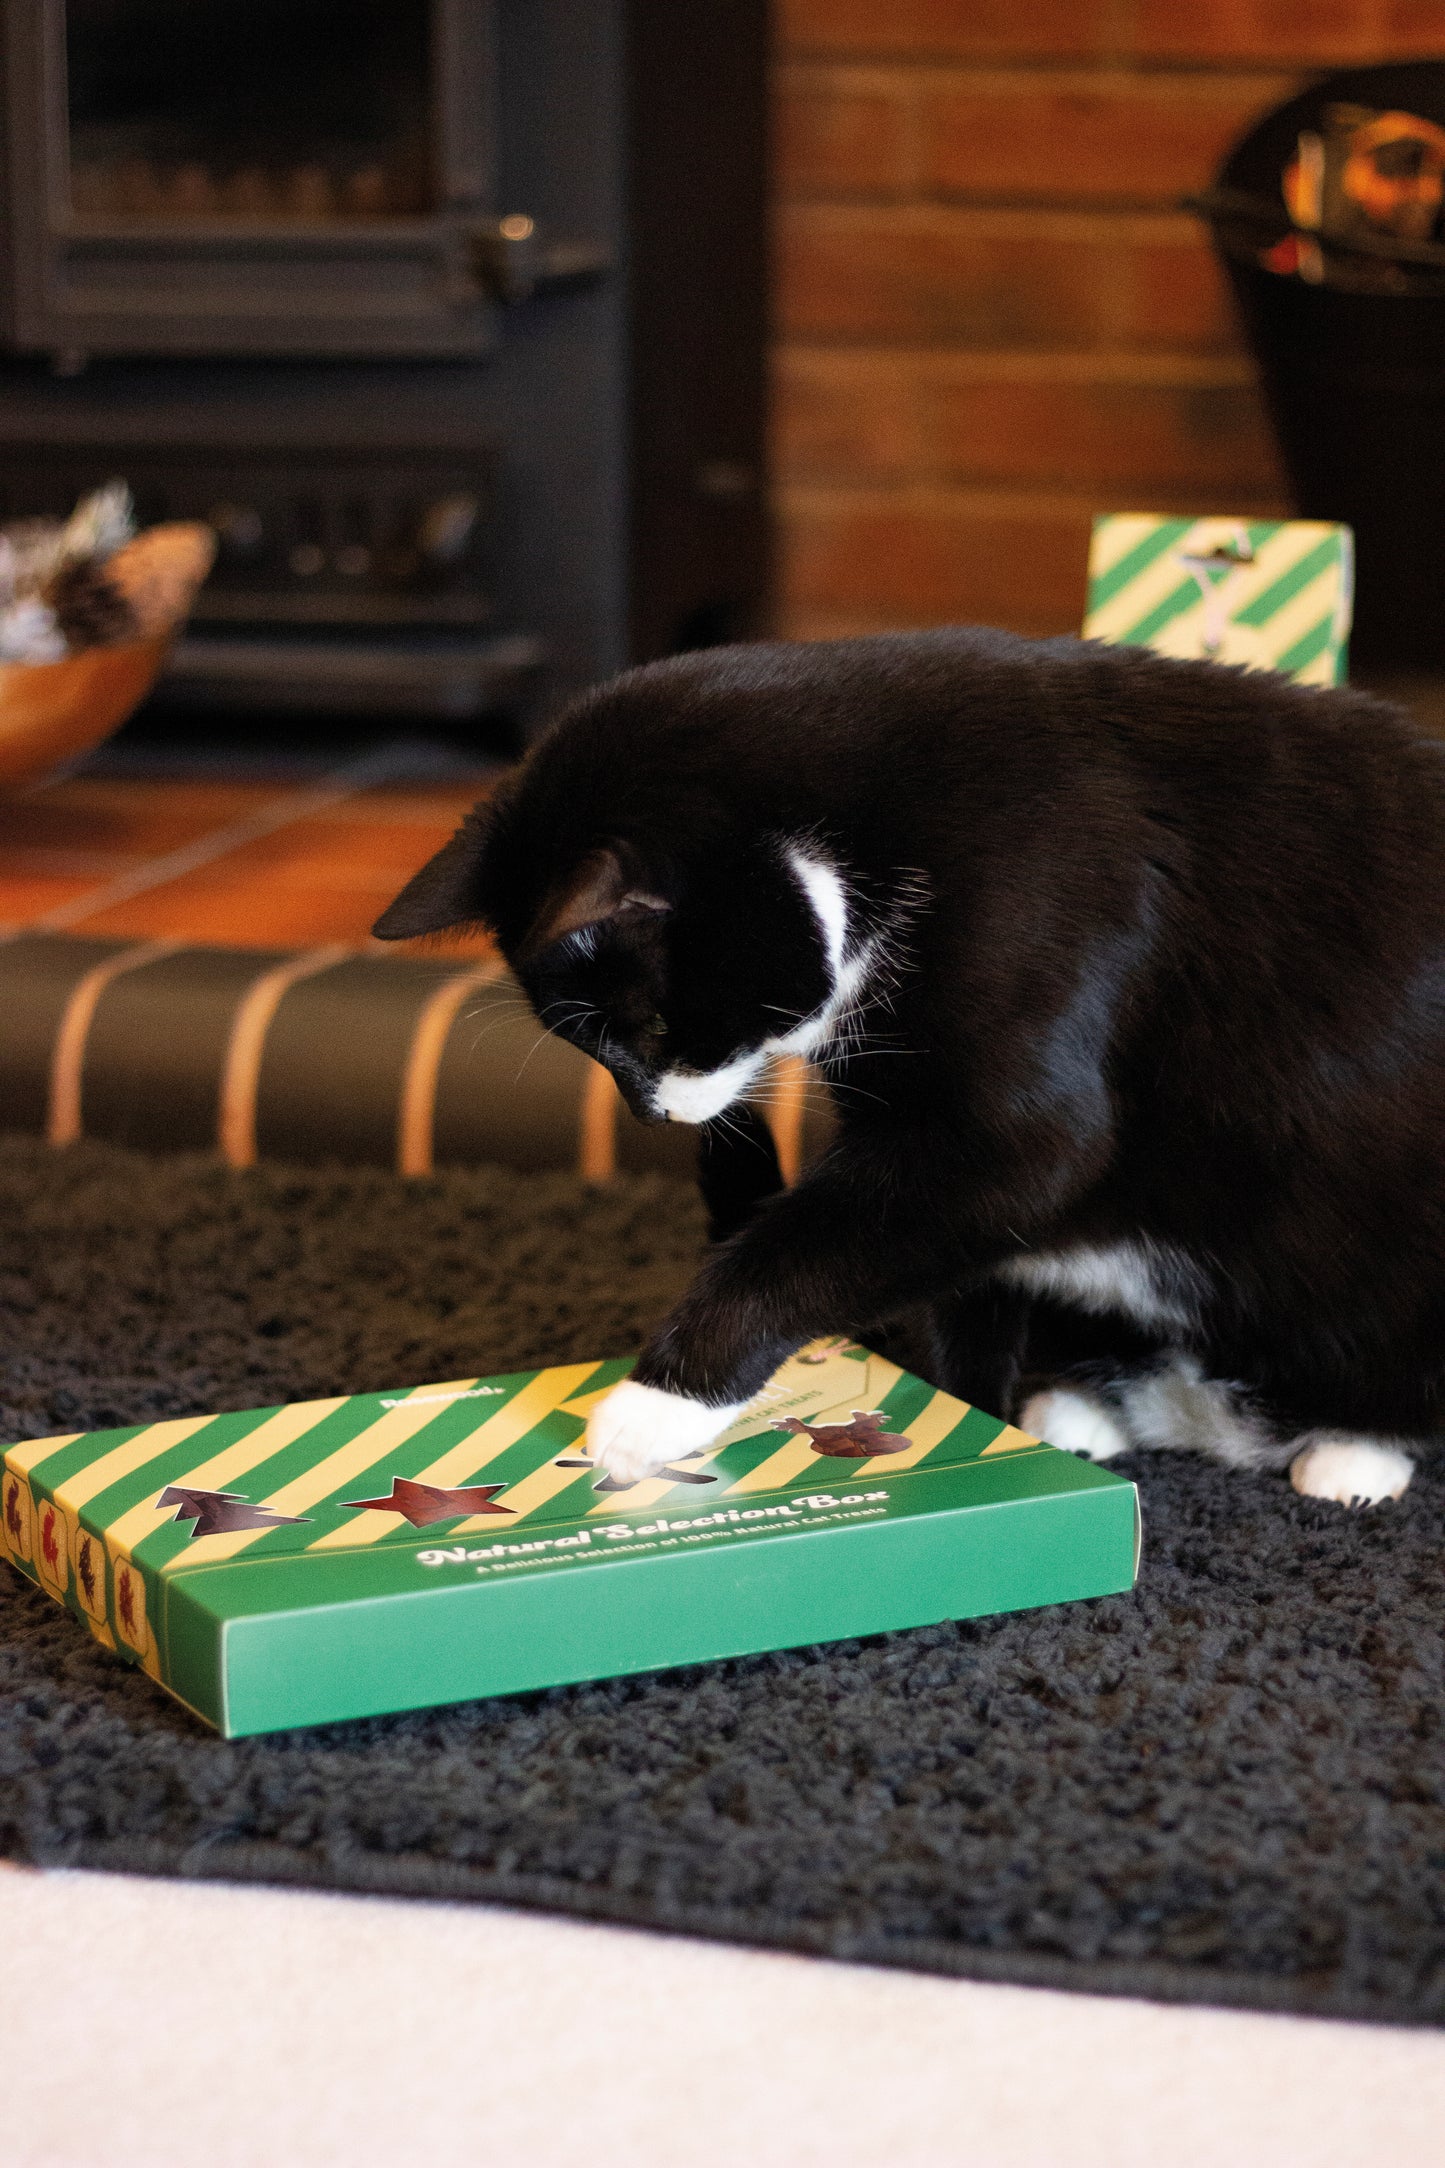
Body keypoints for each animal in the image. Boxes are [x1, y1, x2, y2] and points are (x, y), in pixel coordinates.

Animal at [376, 628, 1445, 1508]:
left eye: (641, 1023)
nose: (652, 1118)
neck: (874, 838)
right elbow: (951, 1290)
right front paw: (972, 1421)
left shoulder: (1010, 1112)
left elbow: (807, 1244)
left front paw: (655, 1407)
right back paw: (1083, 1409)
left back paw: (1350, 1456)